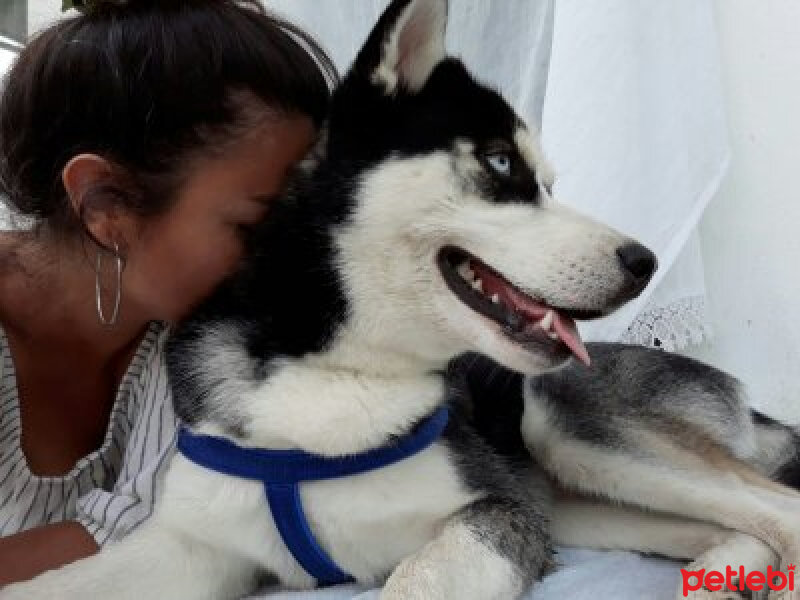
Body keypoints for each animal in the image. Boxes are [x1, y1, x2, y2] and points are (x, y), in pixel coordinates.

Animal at [1, 1, 656, 600]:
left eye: (547, 183)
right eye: (500, 161)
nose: (643, 263)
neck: (329, 371)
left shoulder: (499, 509)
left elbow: (418, 579)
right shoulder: (195, 544)